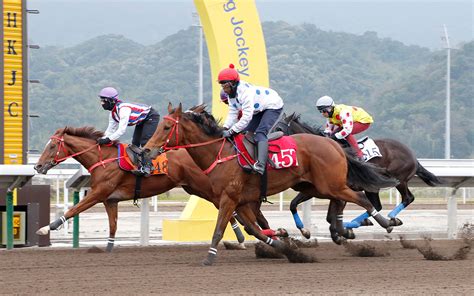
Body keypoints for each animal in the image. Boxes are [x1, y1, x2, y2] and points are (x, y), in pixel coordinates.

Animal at [33, 126, 266, 251]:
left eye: (52, 146)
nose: (37, 166)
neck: (103, 158)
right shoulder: (110, 199)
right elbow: (113, 226)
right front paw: (107, 248)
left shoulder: (99, 193)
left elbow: (74, 209)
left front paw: (45, 228)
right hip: (196, 189)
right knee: (233, 210)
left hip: (206, 187)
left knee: (232, 209)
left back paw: (247, 237)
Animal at [144, 104, 400, 266]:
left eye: (166, 127)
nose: (146, 149)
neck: (220, 153)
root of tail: (333, 144)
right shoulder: (242, 201)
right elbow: (254, 229)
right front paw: (282, 243)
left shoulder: (229, 198)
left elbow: (219, 229)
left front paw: (209, 257)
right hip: (316, 186)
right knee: (340, 201)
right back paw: (343, 230)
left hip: (330, 184)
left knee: (361, 198)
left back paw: (385, 222)